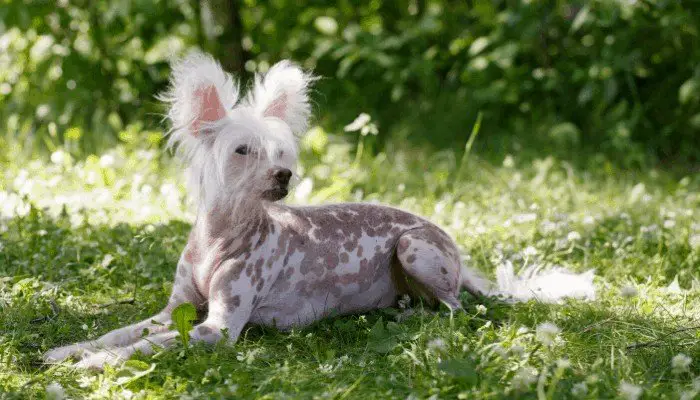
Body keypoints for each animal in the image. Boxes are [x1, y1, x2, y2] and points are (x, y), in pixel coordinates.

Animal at [43, 52, 592, 368]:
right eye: (243, 150)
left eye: (283, 153)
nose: (283, 176)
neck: (221, 237)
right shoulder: (173, 311)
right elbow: (119, 332)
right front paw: (68, 350)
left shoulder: (216, 330)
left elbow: (142, 346)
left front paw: (89, 366)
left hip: (414, 247)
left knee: (457, 310)